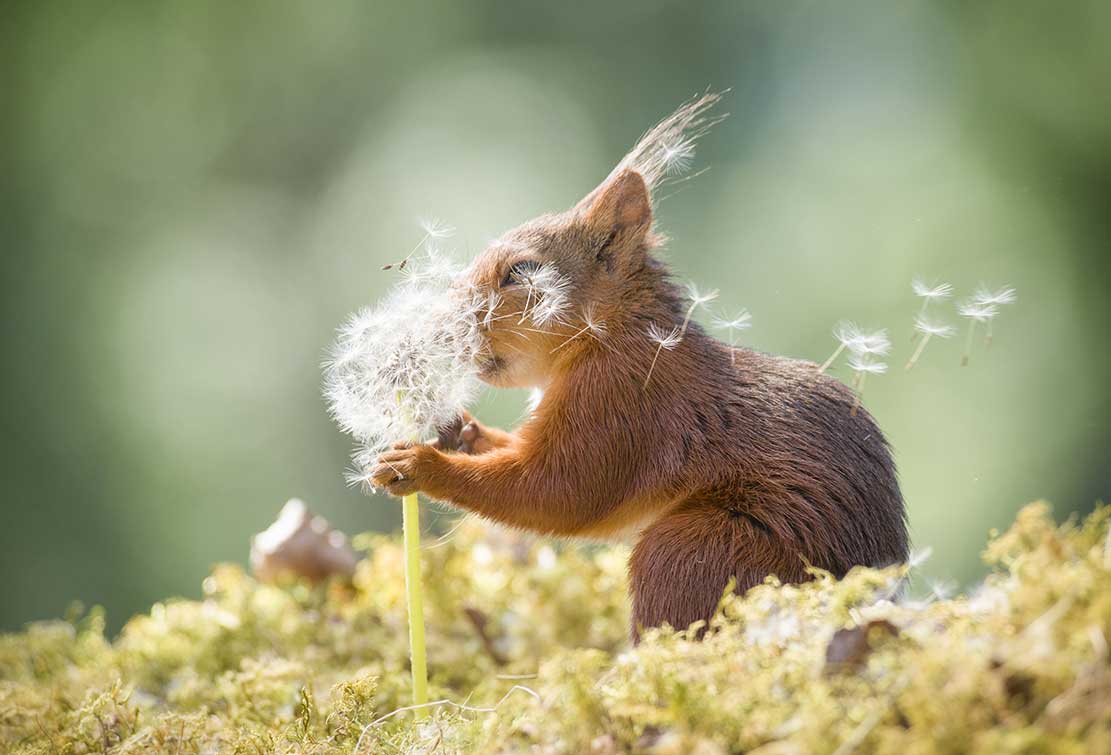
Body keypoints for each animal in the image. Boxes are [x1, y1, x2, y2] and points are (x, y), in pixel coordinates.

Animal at [368, 91, 906, 639]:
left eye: (521, 271)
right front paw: (461, 431)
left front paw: (420, 465)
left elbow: (558, 491)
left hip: (698, 549)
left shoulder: (622, 402)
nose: (444, 323)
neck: (609, 336)